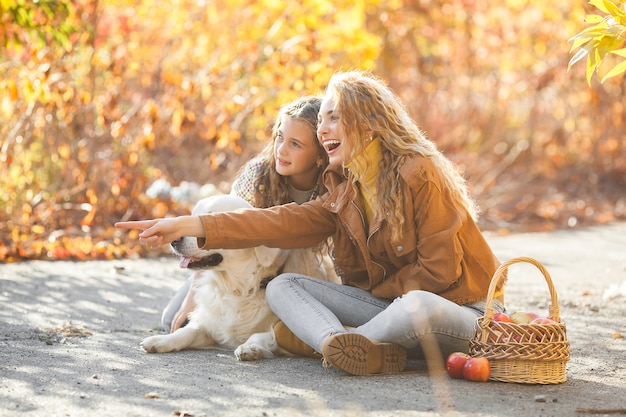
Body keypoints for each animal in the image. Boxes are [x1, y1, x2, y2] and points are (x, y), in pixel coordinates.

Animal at [140, 193, 336, 360]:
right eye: (192, 215)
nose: (174, 240)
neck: (239, 289)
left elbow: (264, 334)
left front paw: (250, 347)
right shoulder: (211, 322)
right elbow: (187, 331)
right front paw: (160, 340)